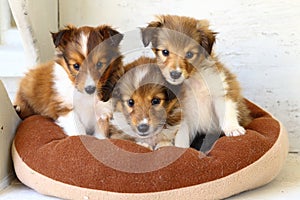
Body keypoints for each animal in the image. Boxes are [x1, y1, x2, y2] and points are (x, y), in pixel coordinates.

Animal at [141, 15, 251, 150]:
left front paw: (233, 129)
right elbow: (181, 136)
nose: (175, 74)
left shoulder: (220, 92)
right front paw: (181, 149)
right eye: (165, 52)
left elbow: (227, 111)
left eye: (189, 54)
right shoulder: (182, 112)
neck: (193, 79)